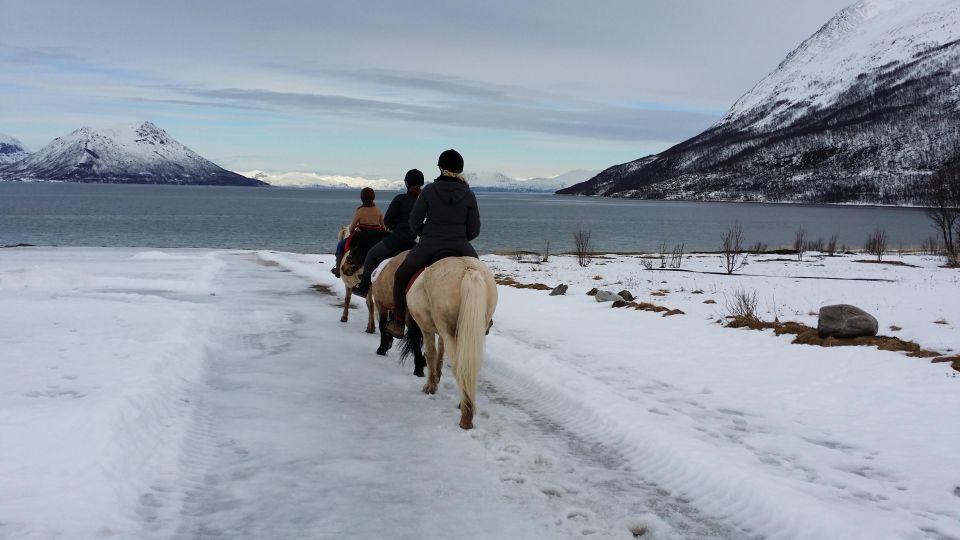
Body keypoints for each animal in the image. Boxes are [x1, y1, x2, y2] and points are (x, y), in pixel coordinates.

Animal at [402, 258, 498, 430]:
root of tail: (468, 269)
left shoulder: (426, 329)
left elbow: (430, 354)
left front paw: (431, 386)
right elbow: (440, 351)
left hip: (447, 330)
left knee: (460, 368)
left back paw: (466, 416)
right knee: (469, 367)